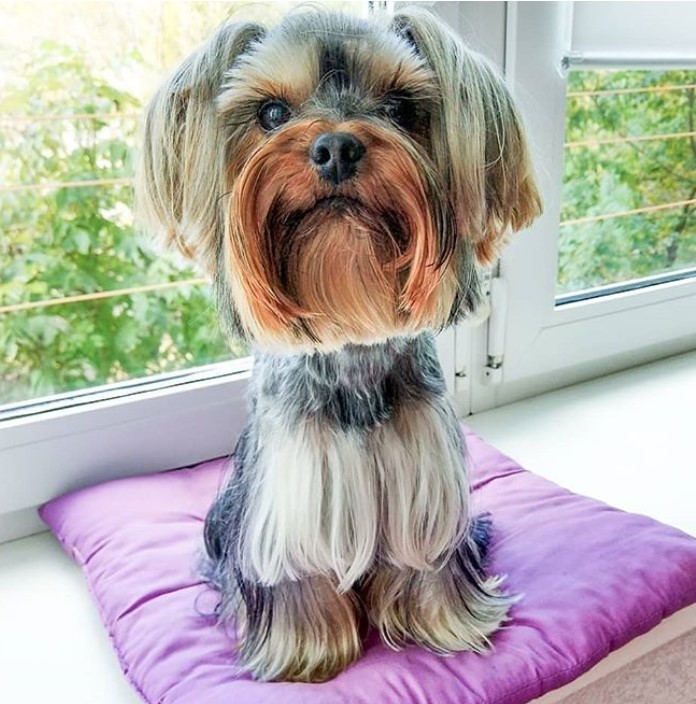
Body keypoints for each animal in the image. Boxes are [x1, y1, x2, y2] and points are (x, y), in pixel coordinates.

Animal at [135, 5, 540, 684]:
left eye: (401, 107)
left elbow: (427, 562)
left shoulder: (424, 483)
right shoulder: (290, 496)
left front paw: (447, 625)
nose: (335, 147)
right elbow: (298, 578)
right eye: (272, 113)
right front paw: (309, 655)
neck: (351, 338)